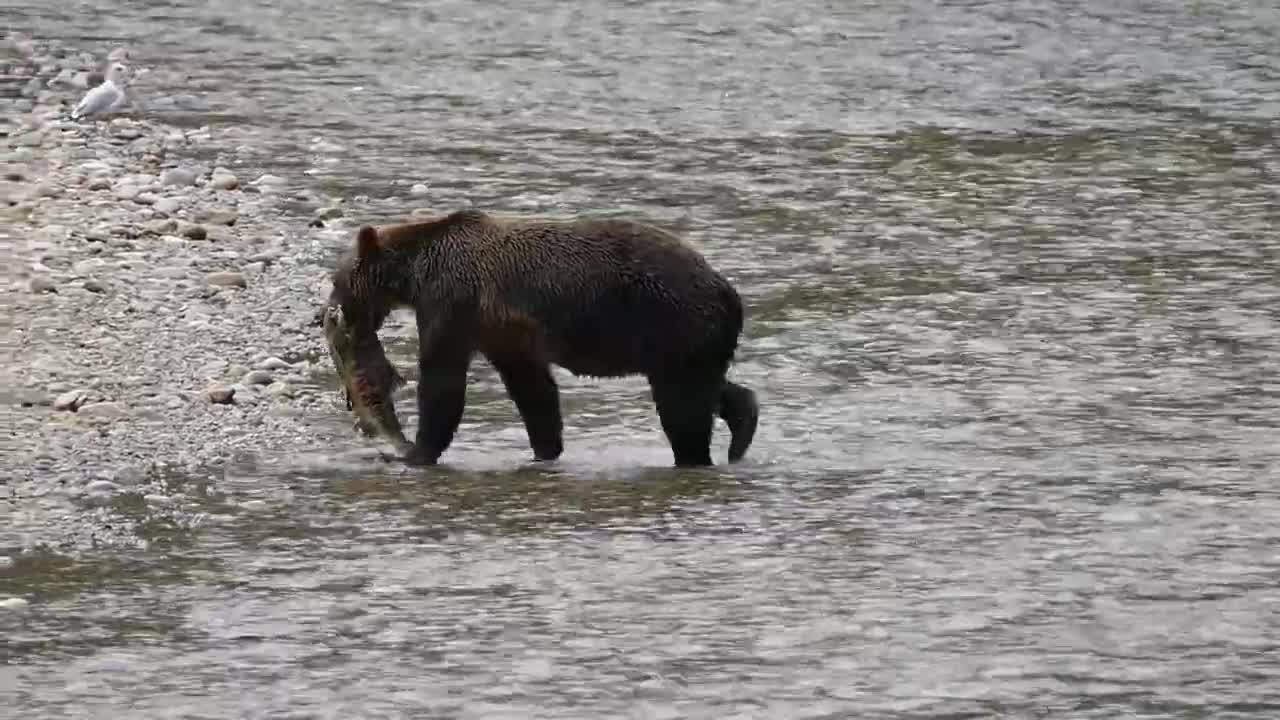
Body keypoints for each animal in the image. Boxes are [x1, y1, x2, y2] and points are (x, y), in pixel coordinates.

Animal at [327, 206, 757, 466]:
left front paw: (416, 451)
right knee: (707, 386)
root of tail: (727, 289)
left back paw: (696, 455)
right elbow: (532, 389)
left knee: (682, 406)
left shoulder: (452, 301)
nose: (327, 312)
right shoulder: (502, 330)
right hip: (688, 339)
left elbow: (442, 379)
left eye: (335, 279)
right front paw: (544, 449)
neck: (415, 271)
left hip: (670, 318)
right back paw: (742, 429)